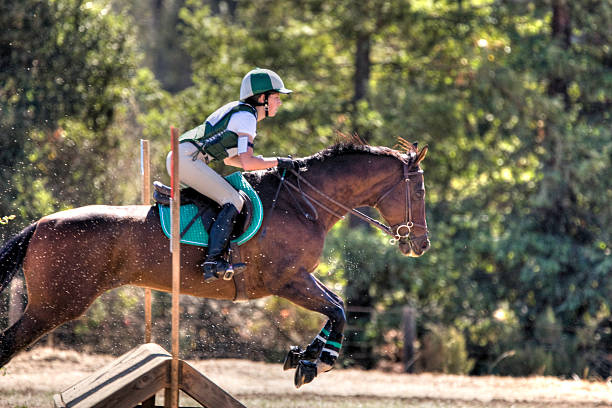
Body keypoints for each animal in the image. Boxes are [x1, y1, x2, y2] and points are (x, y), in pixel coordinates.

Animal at [0, 142, 430, 388]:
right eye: (420, 191)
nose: (421, 245)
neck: (304, 203)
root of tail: (41, 224)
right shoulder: (287, 280)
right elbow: (338, 309)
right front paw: (317, 363)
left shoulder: (297, 278)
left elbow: (338, 304)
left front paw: (304, 356)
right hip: (54, 306)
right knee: (8, 343)